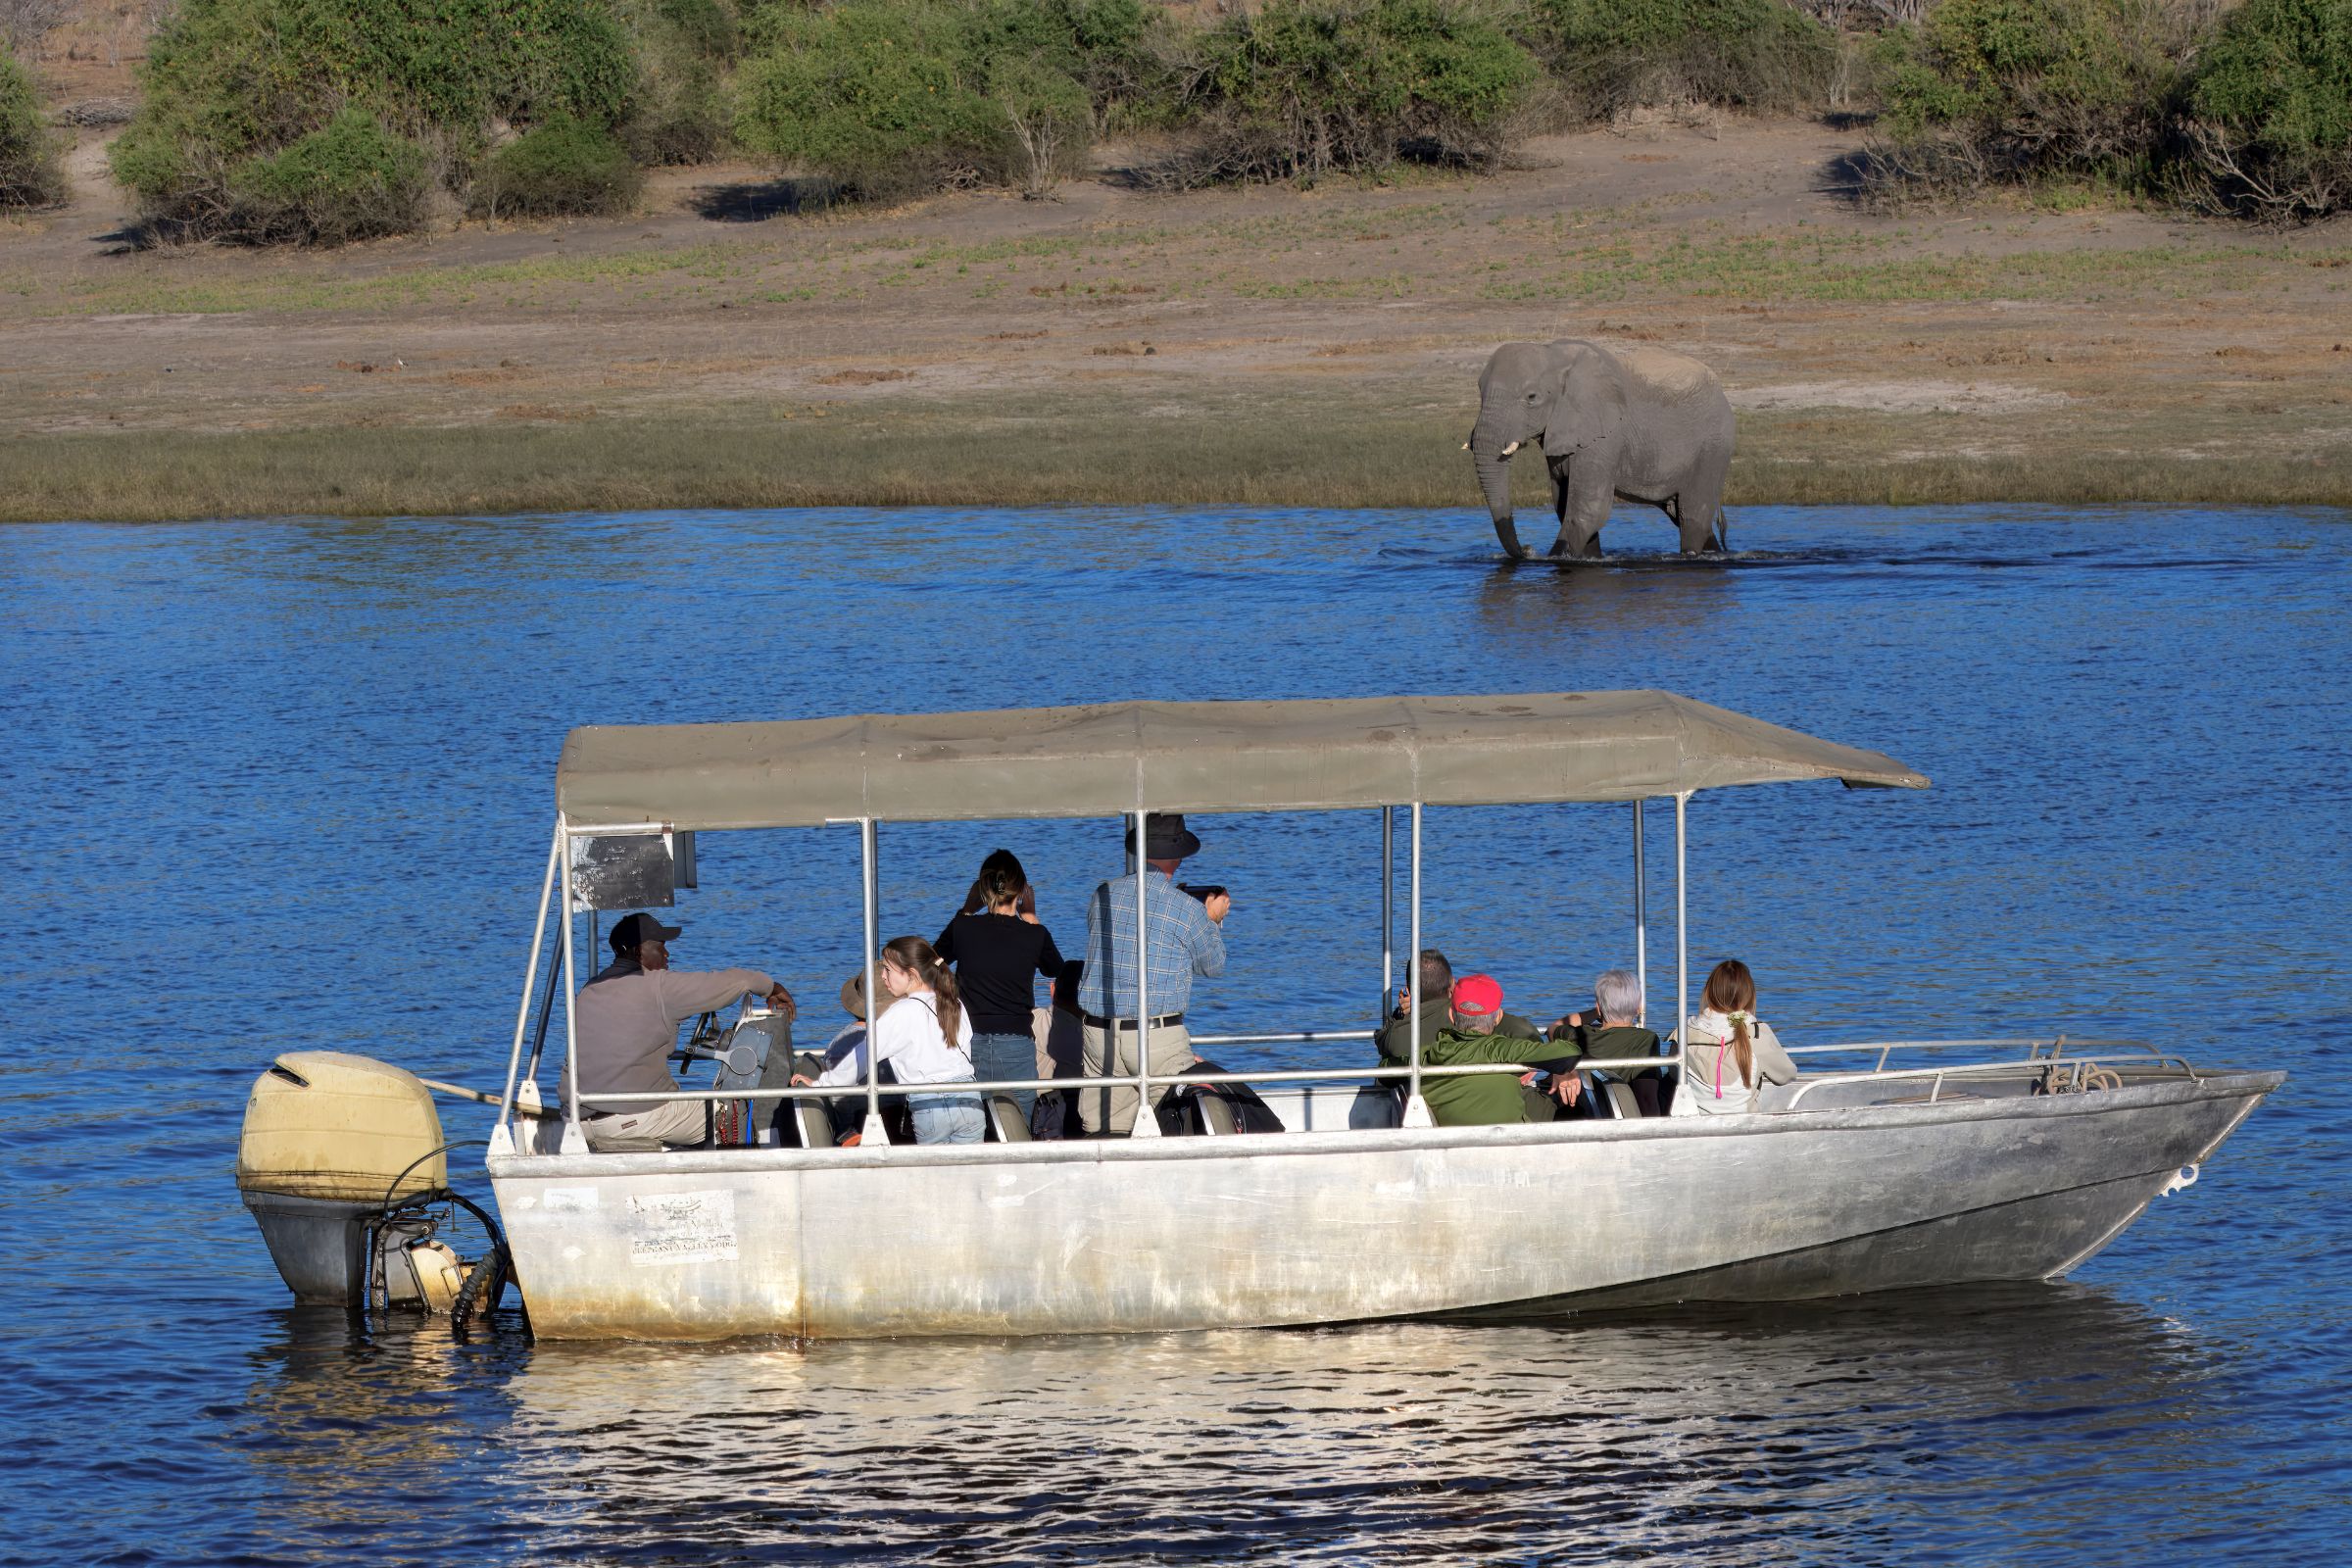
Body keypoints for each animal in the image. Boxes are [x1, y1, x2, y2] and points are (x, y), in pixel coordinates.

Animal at [1466, 339, 1735, 559]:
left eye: (1531, 397)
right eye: (1479, 390)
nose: (1528, 549)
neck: (1554, 356)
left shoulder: (1605, 435)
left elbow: (1589, 508)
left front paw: (1556, 558)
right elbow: (1563, 503)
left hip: (1713, 448)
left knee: (1692, 517)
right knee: (1683, 515)